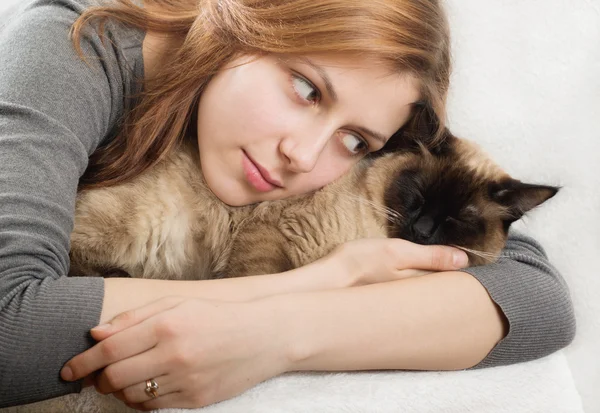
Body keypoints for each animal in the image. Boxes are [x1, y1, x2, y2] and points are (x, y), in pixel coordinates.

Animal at [67, 131, 556, 280]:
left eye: (456, 220)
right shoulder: (273, 232)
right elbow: (263, 278)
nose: (423, 232)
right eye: (417, 198)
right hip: (139, 225)